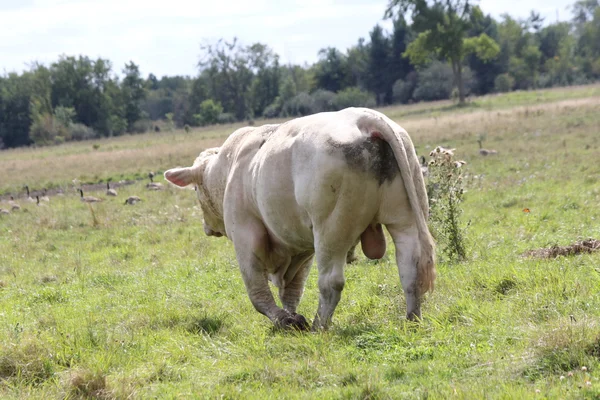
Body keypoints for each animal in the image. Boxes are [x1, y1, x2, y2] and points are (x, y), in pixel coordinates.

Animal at [164, 107, 436, 332]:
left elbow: (258, 293)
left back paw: (319, 327)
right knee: (410, 270)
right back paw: (412, 320)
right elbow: (292, 290)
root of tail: (365, 118)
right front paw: (292, 317)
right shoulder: (300, 247)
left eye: (195, 189)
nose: (207, 227)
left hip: (331, 230)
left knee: (331, 282)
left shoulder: (245, 237)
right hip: (405, 219)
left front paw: (285, 320)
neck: (229, 166)